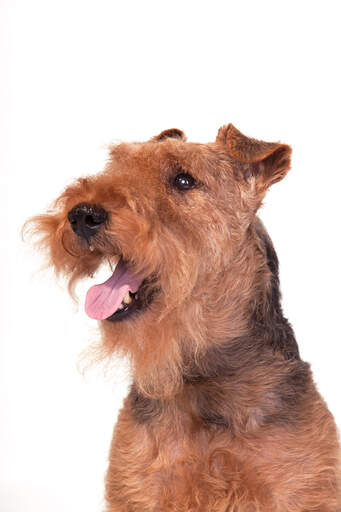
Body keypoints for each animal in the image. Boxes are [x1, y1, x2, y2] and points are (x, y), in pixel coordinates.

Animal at [27, 125, 340, 512]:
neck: (202, 375)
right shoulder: (138, 490)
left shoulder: (301, 492)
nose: (82, 214)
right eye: (116, 165)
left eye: (183, 179)